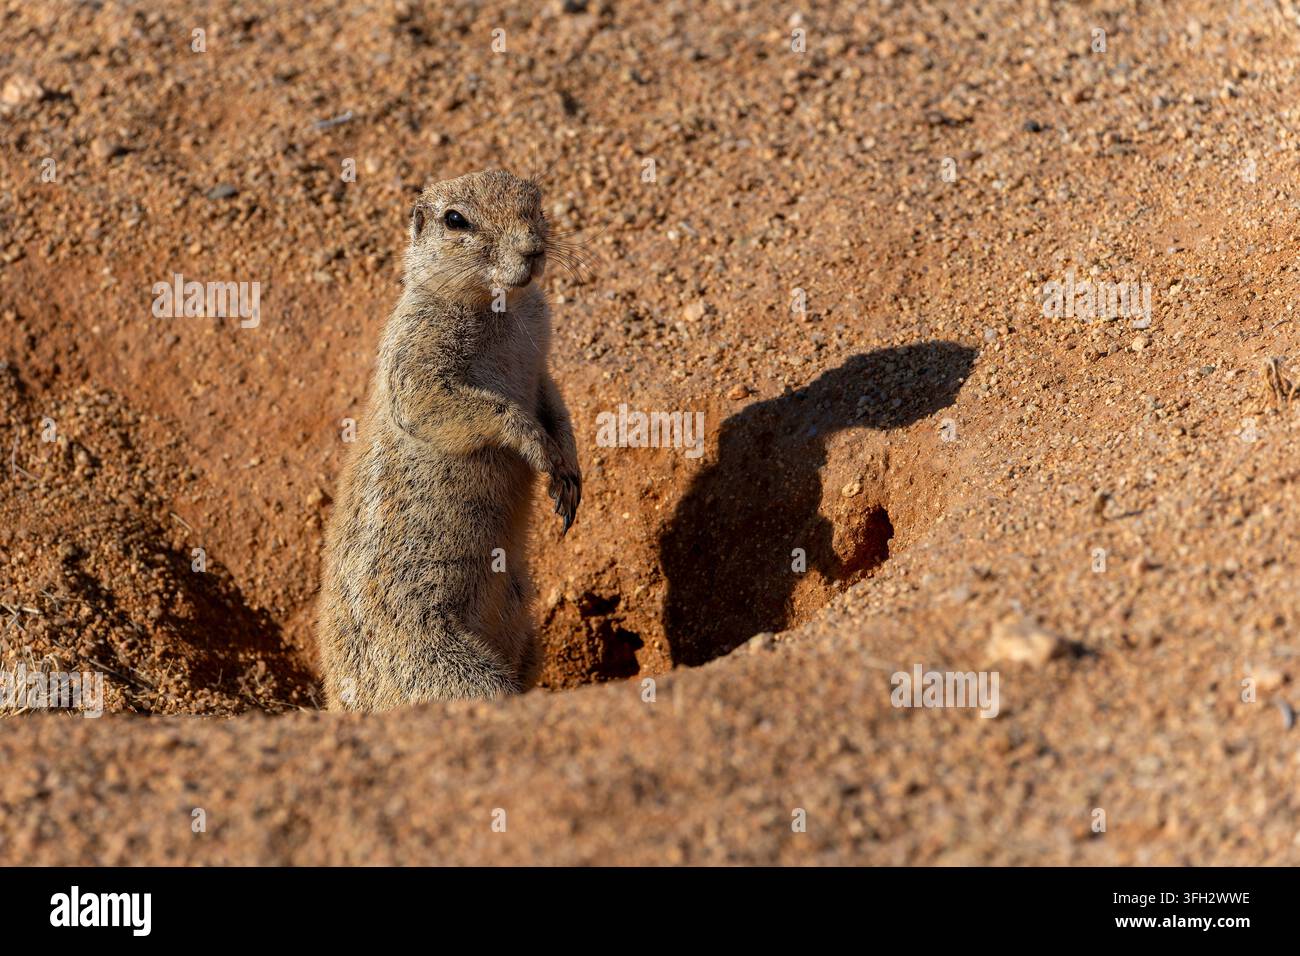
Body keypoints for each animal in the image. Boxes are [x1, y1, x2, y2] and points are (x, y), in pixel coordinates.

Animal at [317, 169, 581, 711]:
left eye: (536, 201)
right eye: (455, 220)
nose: (533, 249)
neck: (501, 308)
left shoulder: (540, 361)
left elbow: (553, 400)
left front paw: (568, 472)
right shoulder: (417, 355)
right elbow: (452, 403)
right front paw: (536, 445)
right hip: (441, 664)